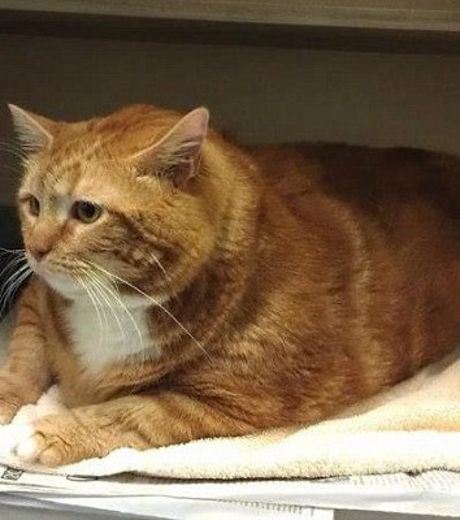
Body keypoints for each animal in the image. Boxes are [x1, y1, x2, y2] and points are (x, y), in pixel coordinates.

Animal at [0, 103, 460, 467]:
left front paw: (53, 431)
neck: (112, 304)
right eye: (33, 204)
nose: (34, 250)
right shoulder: (34, 301)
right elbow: (23, 359)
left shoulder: (228, 402)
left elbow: (132, 412)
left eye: (87, 211)